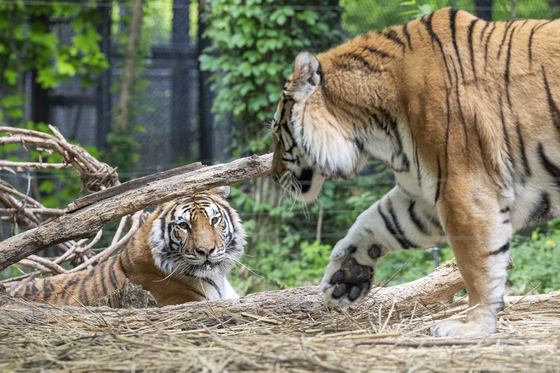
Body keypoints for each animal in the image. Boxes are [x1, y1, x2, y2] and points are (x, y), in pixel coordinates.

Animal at [270, 8, 560, 338]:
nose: (273, 175)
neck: (376, 126)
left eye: (277, 134)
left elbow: (476, 264)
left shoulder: (464, 188)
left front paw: (473, 325)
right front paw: (346, 275)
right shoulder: (423, 193)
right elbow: (378, 220)